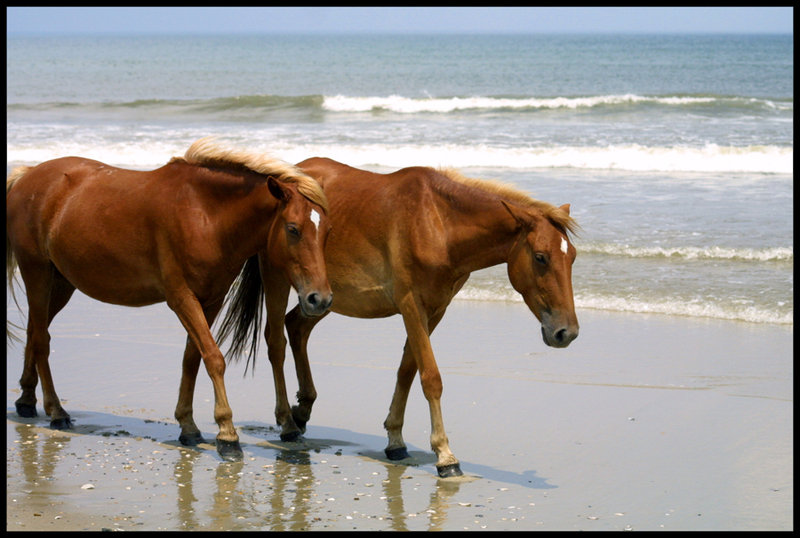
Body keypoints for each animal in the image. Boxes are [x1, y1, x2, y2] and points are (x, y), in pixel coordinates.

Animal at [6, 136, 332, 458]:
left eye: (327, 232)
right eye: (293, 229)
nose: (321, 299)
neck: (205, 215)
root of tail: (28, 175)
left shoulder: (211, 300)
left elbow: (192, 358)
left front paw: (188, 426)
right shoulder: (181, 298)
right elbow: (213, 357)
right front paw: (227, 433)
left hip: (62, 283)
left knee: (35, 330)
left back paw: (26, 400)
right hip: (37, 272)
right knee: (41, 340)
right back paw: (56, 411)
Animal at [222, 157, 580, 476]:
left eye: (572, 257)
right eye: (541, 257)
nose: (567, 332)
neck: (439, 223)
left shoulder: (434, 310)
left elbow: (408, 370)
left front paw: (395, 439)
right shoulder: (411, 306)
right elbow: (430, 377)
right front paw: (445, 455)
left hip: (324, 298)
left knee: (296, 328)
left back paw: (303, 409)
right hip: (280, 279)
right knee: (276, 342)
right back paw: (287, 422)